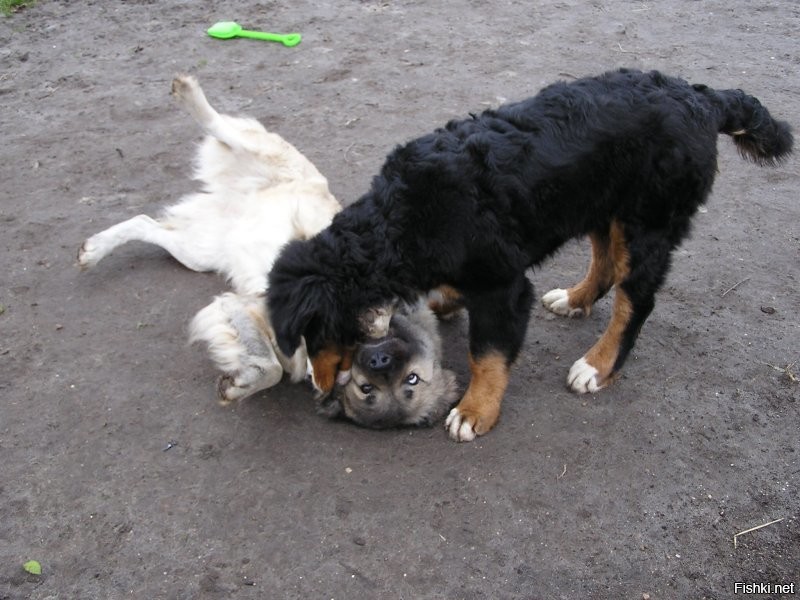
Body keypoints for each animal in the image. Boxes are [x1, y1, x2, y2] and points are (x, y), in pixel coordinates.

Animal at [79, 76, 342, 404]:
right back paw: (188, 93)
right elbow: (273, 368)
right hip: (251, 152)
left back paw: (93, 250)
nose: (325, 390)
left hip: (198, 253)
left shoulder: (241, 307)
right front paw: (245, 383)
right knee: (219, 126)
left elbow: (270, 365)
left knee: (145, 223)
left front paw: (241, 381)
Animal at [268, 69, 788, 440]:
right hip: (599, 204)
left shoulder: (503, 285)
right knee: (606, 263)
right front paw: (441, 302)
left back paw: (597, 366)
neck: (405, 220)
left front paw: (474, 411)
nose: (318, 385)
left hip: (648, 223)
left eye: (313, 334)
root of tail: (702, 97)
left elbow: (487, 353)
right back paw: (575, 299)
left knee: (635, 300)